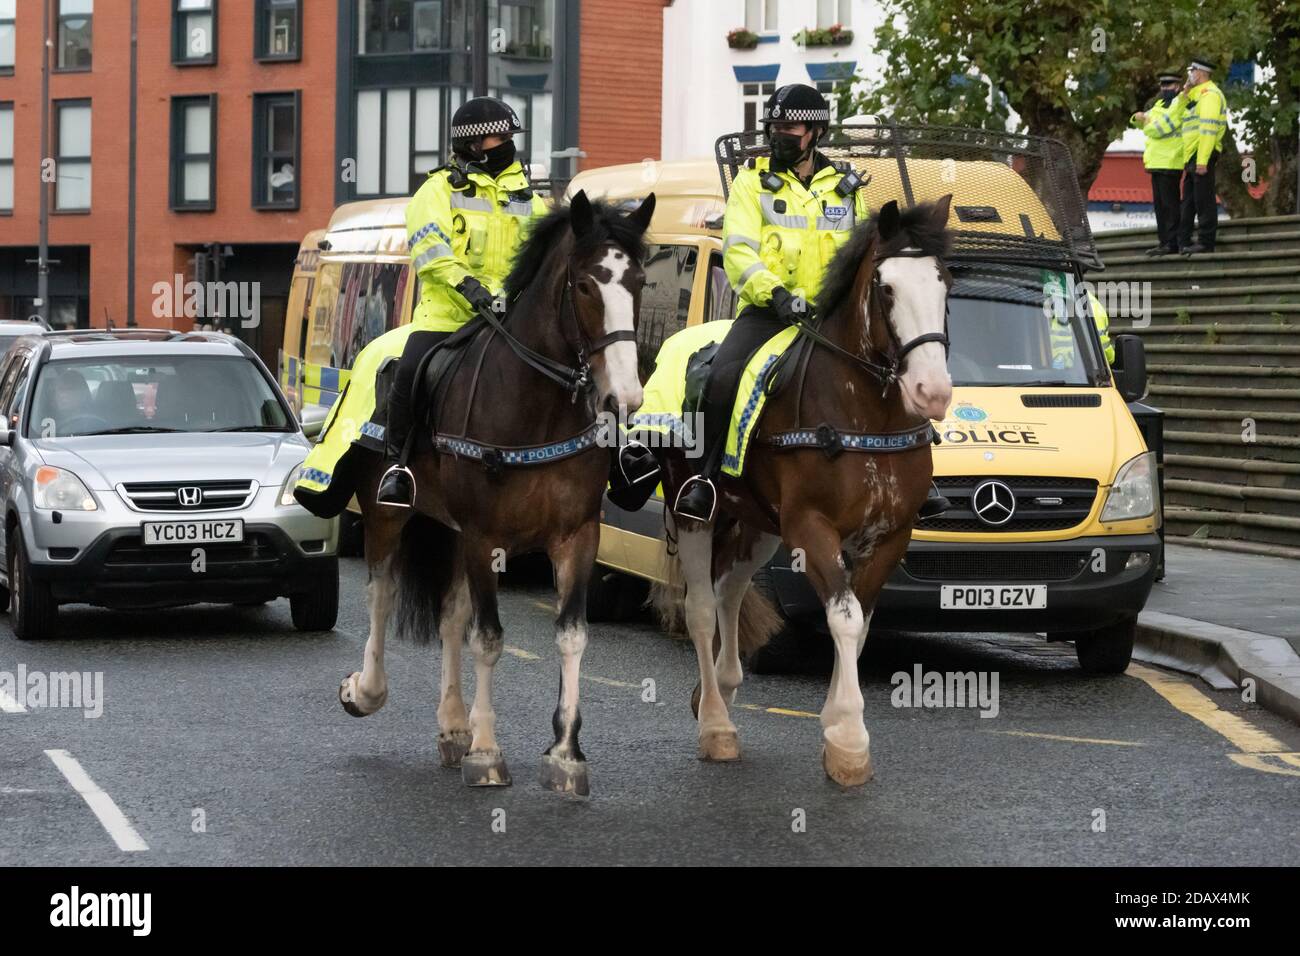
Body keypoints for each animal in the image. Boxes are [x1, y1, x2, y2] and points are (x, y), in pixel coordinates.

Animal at [335, 191, 660, 796]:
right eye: (585, 285)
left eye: (640, 281)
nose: (624, 397)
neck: (538, 408)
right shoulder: (485, 536)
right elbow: (488, 639)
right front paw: (487, 752)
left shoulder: (577, 535)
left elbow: (570, 635)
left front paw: (565, 755)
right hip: (388, 514)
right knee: (381, 595)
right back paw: (366, 691)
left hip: (451, 530)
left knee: (449, 617)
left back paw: (452, 726)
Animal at [655, 195, 951, 785]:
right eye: (886, 288)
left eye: (945, 281)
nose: (933, 392)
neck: (866, 415)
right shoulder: (812, 528)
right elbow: (844, 618)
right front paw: (849, 738)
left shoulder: (888, 538)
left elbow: (860, 623)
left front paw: (839, 730)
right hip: (695, 512)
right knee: (701, 607)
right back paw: (716, 726)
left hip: (757, 524)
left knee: (730, 591)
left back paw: (720, 688)